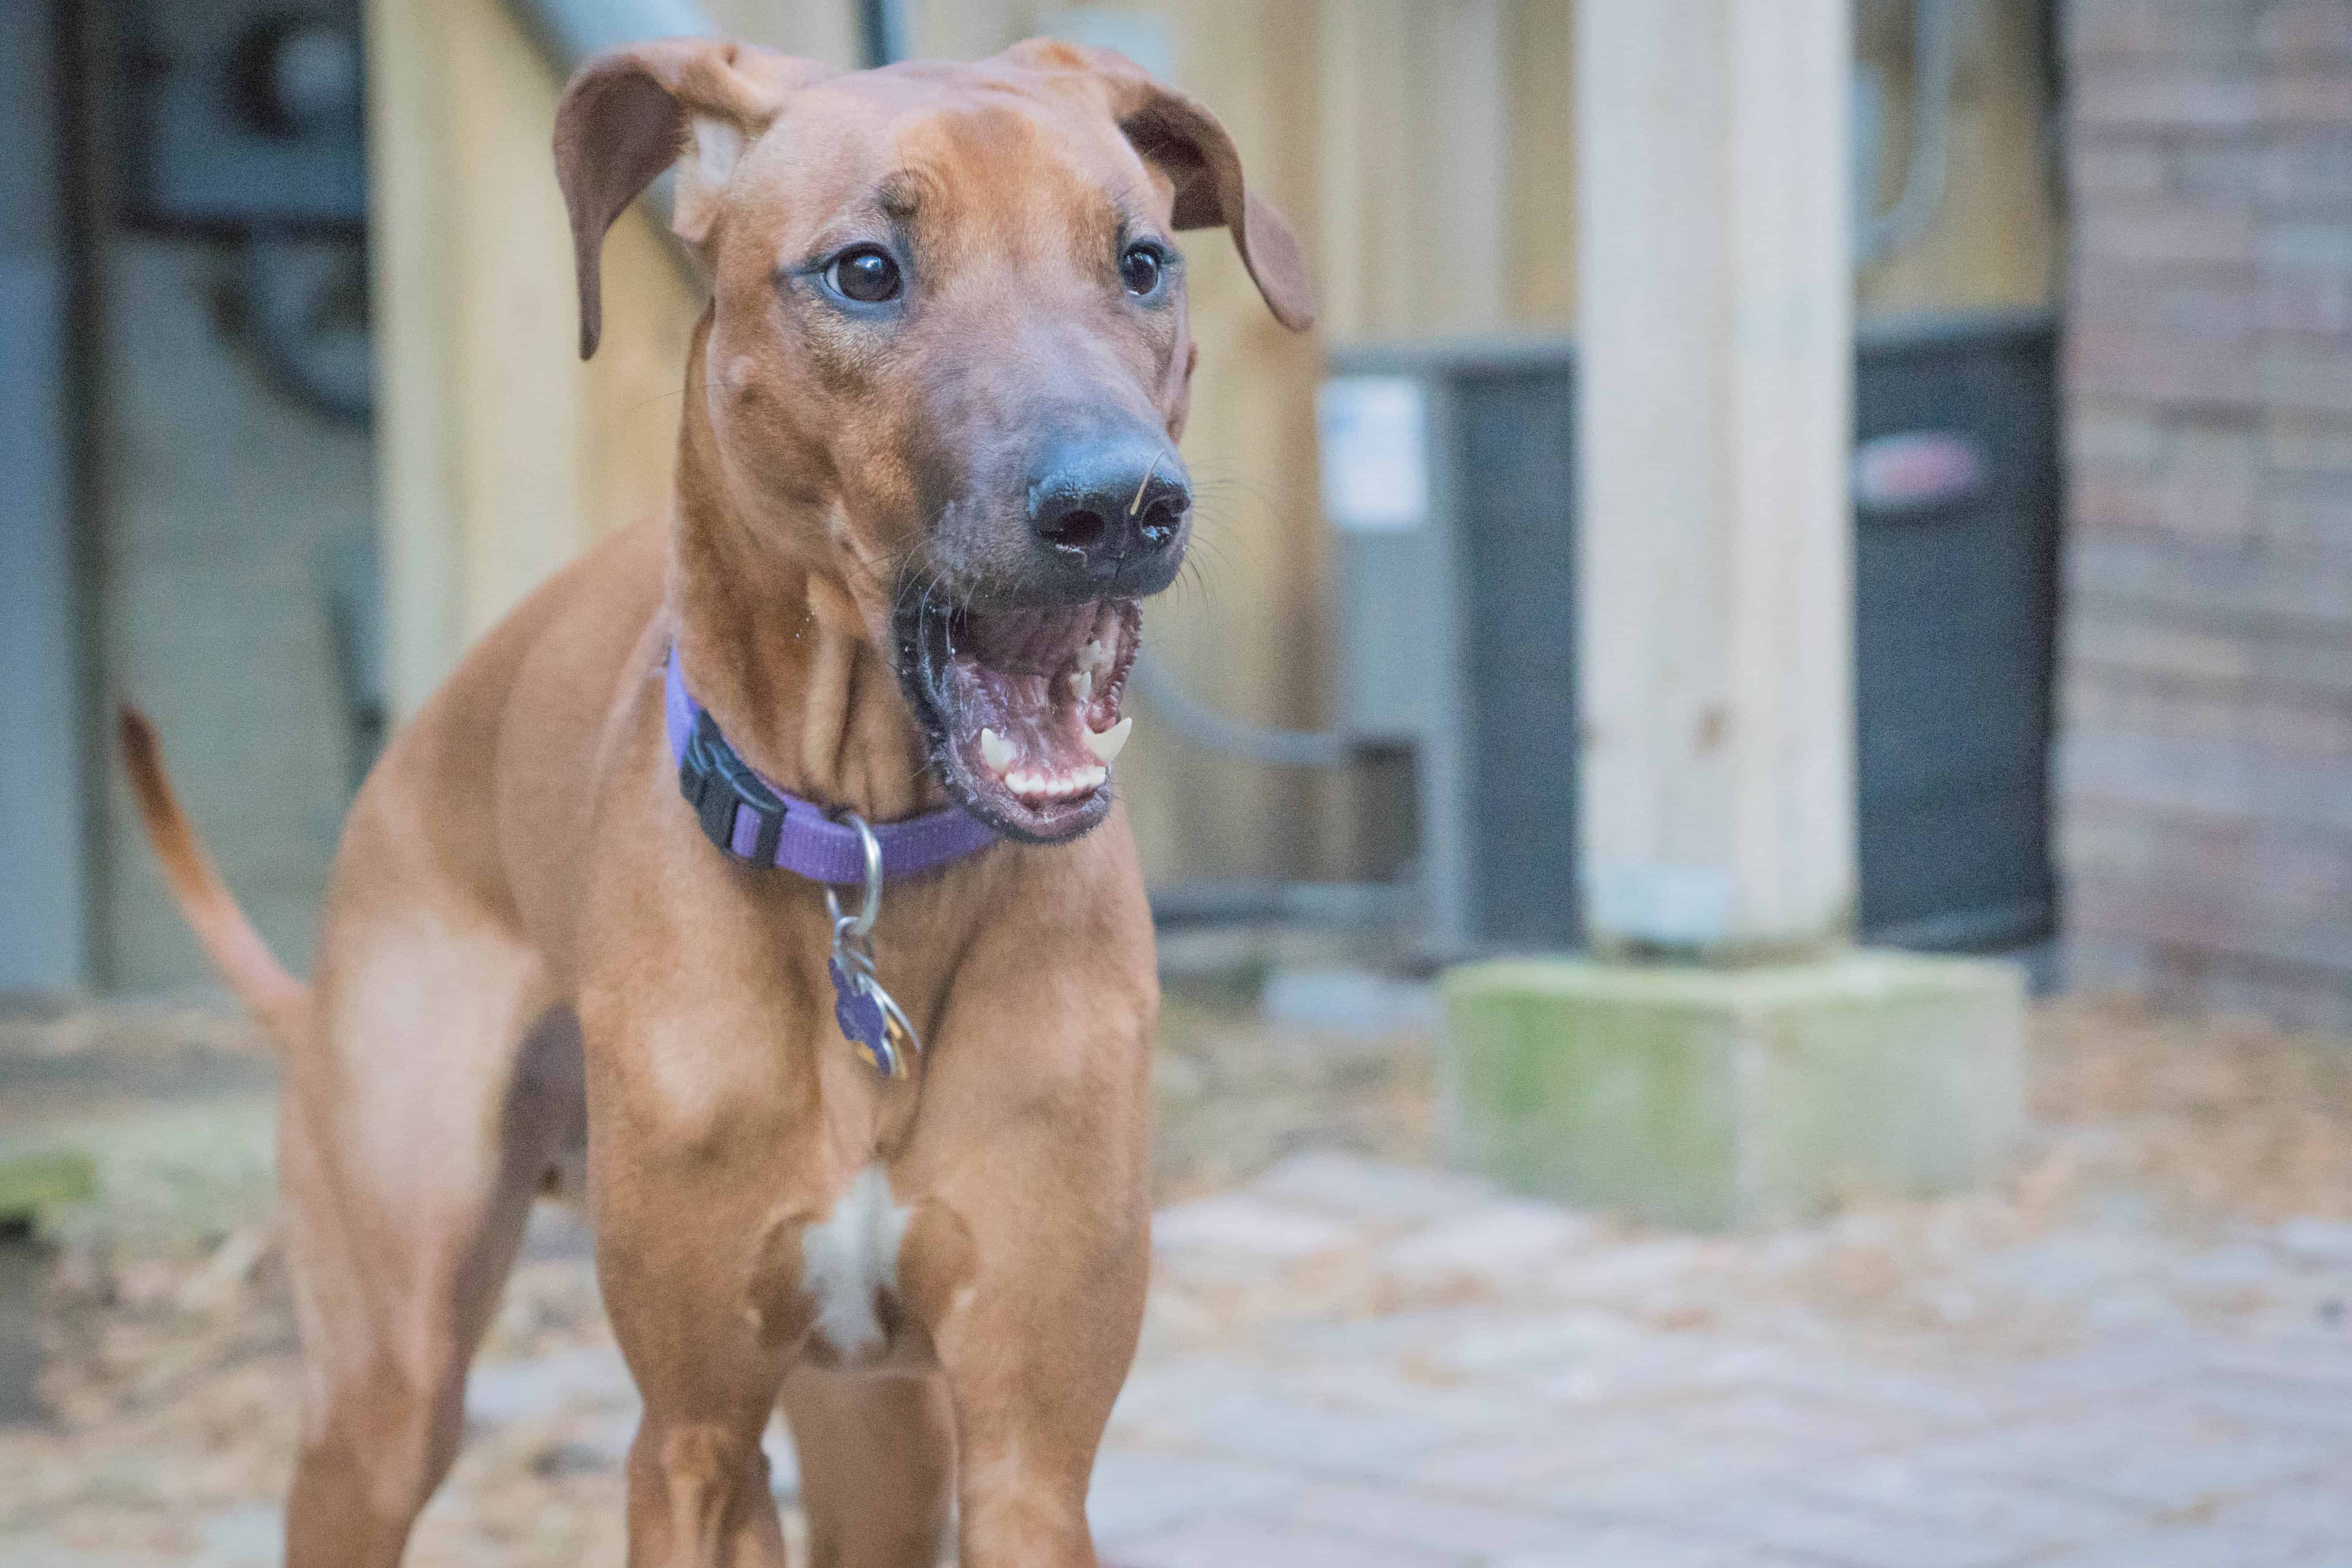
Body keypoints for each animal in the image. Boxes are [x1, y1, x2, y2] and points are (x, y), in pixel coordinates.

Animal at [119, 40, 1317, 1568]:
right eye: (865, 270)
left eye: (1144, 261)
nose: (1117, 505)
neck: (869, 858)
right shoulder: (690, 1438)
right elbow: (687, 1442)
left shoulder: (1026, 1453)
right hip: (388, 1386)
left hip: (876, 1432)